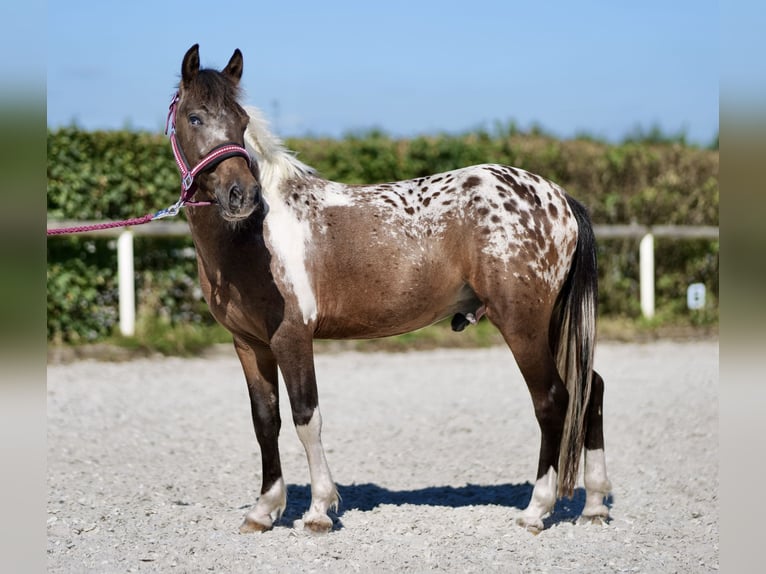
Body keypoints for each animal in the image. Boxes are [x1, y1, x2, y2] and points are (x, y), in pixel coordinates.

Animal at [168, 45, 612, 536]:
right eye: (194, 117)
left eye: (242, 120)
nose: (240, 195)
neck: (255, 234)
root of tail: (559, 198)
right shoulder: (249, 344)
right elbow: (266, 421)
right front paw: (264, 510)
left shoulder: (292, 338)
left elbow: (306, 418)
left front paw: (319, 510)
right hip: (547, 325)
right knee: (590, 388)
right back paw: (594, 505)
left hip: (522, 326)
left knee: (553, 400)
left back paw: (537, 509)